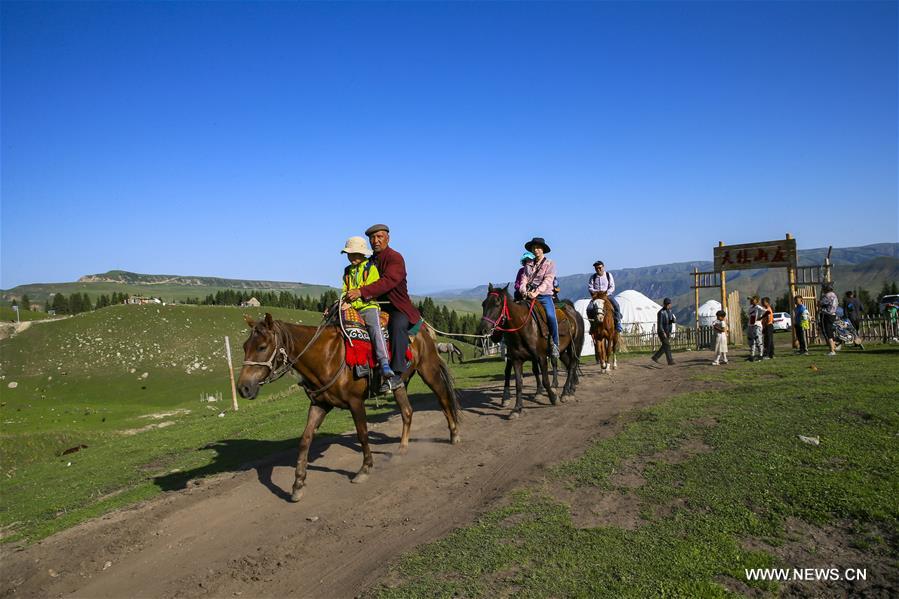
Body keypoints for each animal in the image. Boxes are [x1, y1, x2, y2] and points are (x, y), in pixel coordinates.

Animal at [237, 314, 460, 502]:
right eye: (245, 346)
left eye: (262, 347)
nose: (243, 388)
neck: (327, 357)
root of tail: (424, 331)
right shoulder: (320, 404)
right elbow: (305, 440)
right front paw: (298, 484)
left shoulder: (355, 402)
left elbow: (362, 434)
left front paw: (365, 469)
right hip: (399, 384)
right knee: (407, 412)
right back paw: (402, 449)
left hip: (429, 370)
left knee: (443, 399)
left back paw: (454, 434)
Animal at [478, 284, 584, 418]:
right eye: (483, 304)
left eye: (497, 304)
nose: (483, 329)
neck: (523, 327)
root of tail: (574, 313)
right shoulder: (516, 359)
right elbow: (518, 383)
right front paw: (516, 409)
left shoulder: (541, 357)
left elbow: (545, 380)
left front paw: (553, 398)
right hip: (564, 350)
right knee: (569, 364)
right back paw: (571, 389)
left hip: (575, 346)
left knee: (572, 365)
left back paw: (565, 393)